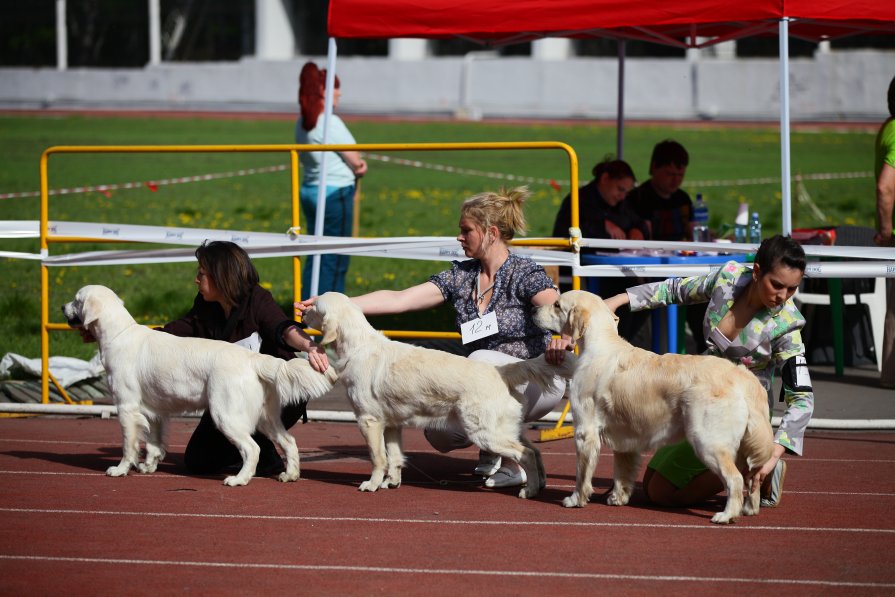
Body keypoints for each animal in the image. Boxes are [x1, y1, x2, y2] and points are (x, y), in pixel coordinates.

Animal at [62, 282, 336, 484]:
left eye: (76, 300)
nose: (63, 306)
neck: (119, 335)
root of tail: (253, 358)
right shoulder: (155, 410)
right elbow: (153, 443)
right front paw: (148, 466)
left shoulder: (127, 406)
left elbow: (129, 445)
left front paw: (120, 470)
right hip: (265, 416)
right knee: (289, 442)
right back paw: (290, 474)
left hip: (226, 414)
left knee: (253, 448)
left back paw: (239, 479)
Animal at [302, 292, 552, 496]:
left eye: (313, 306)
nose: (302, 311)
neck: (359, 346)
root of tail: (500, 371)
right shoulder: (392, 423)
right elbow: (394, 457)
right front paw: (391, 482)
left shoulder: (369, 421)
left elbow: (378, 458)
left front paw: (372, 484)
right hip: (507, 428)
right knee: (535, 450)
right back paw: (539, 485)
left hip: (485, 433)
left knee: (526, 454)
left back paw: (529, 491)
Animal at [532, 292, 776, 524]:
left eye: (557, 304)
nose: (533, 309)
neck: (599, 345)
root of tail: (741, 375)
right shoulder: (625, 438)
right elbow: (622, 472)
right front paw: (617, 498)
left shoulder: (585, 430)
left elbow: (582, 473)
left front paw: (575, 499)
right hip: (741, 447)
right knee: (753, 475)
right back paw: (750, 508)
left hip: (708, 442)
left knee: (735, 479)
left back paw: (727, 515)